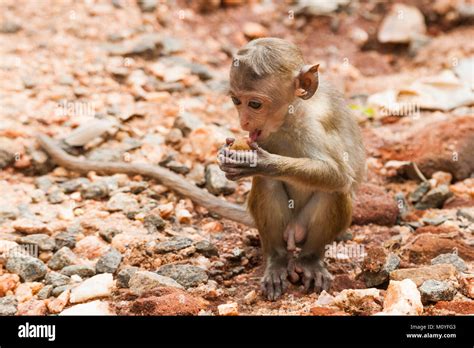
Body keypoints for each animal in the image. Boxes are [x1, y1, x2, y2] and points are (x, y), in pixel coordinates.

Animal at [219, 37, 366, 300]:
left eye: (255, 104)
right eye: (236, 101)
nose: (244, 122)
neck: (290, 117)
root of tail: (293, 234)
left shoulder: (314, 126)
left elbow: (339, 174)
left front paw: (261, 163)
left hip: (304, 226)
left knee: (334, 191)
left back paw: (310, 260)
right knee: (267, 183)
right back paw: (277, 260)